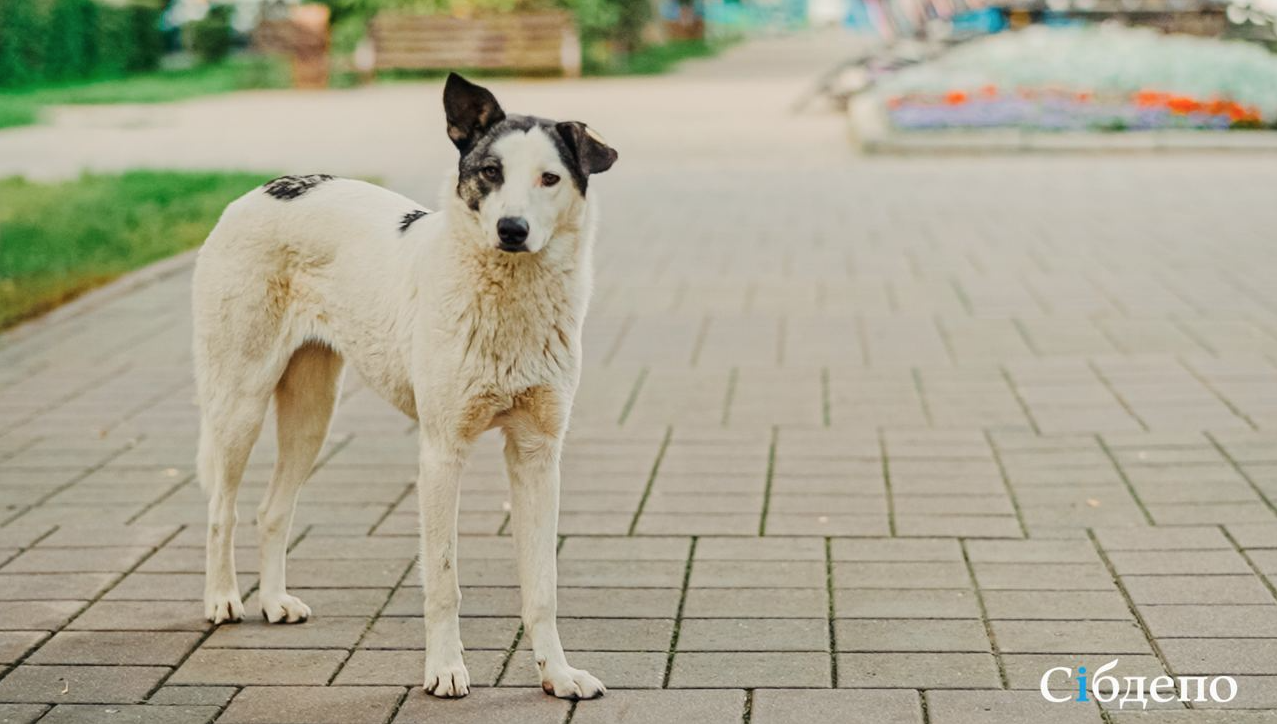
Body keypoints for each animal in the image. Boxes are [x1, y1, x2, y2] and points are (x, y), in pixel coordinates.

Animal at [191, 70, 620, 699]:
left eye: (550, 178)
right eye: (490, 171)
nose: (511, 229)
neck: (509, 299)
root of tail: (264, 189)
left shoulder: (538, 454)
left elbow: (543, 586)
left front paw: (557, 675)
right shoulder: (441, 453)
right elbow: (443, 580)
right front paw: (444, 670)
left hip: (312, 415)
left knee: (273, 509)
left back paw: (273, 601)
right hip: (239, 400)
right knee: (223, 507)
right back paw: (222, 598)